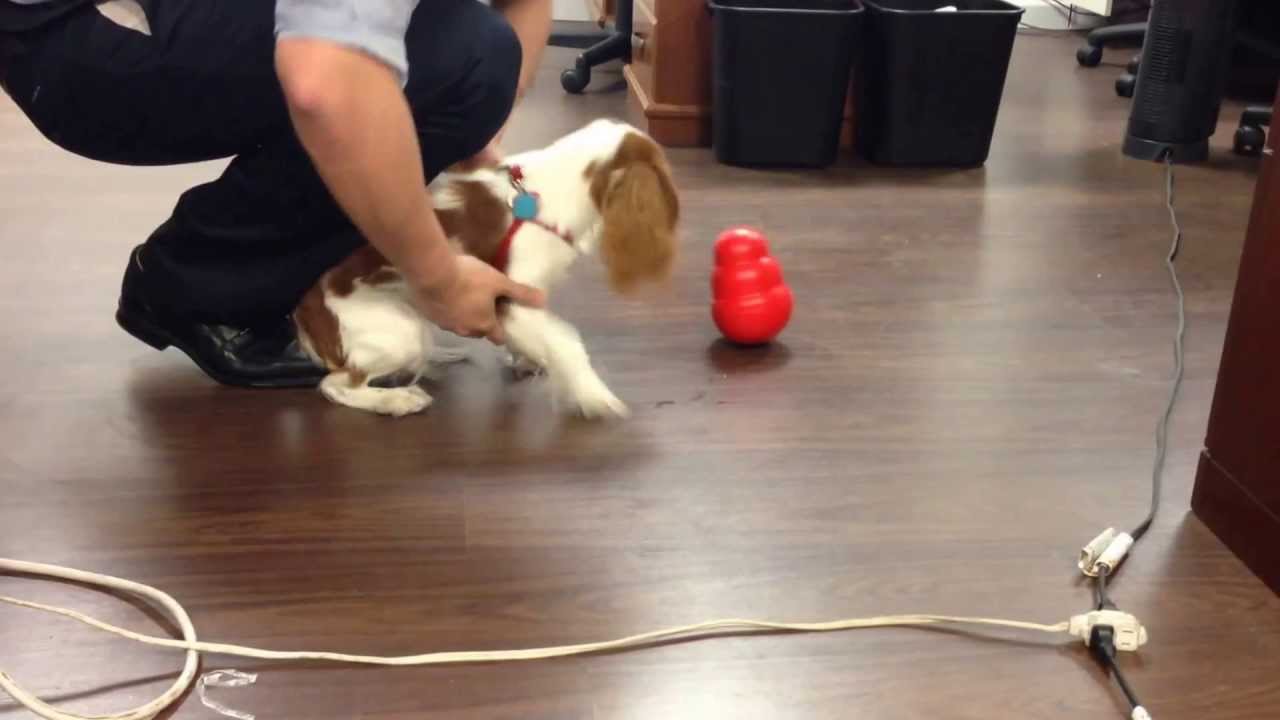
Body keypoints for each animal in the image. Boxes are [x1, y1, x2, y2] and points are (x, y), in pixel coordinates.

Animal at [293, 120, 680, 417]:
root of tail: (303, 312)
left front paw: (526, 357)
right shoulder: (509, 296)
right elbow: (565, 342)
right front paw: (595, 395)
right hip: (401, 332)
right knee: (335, 385)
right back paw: (395, 400)